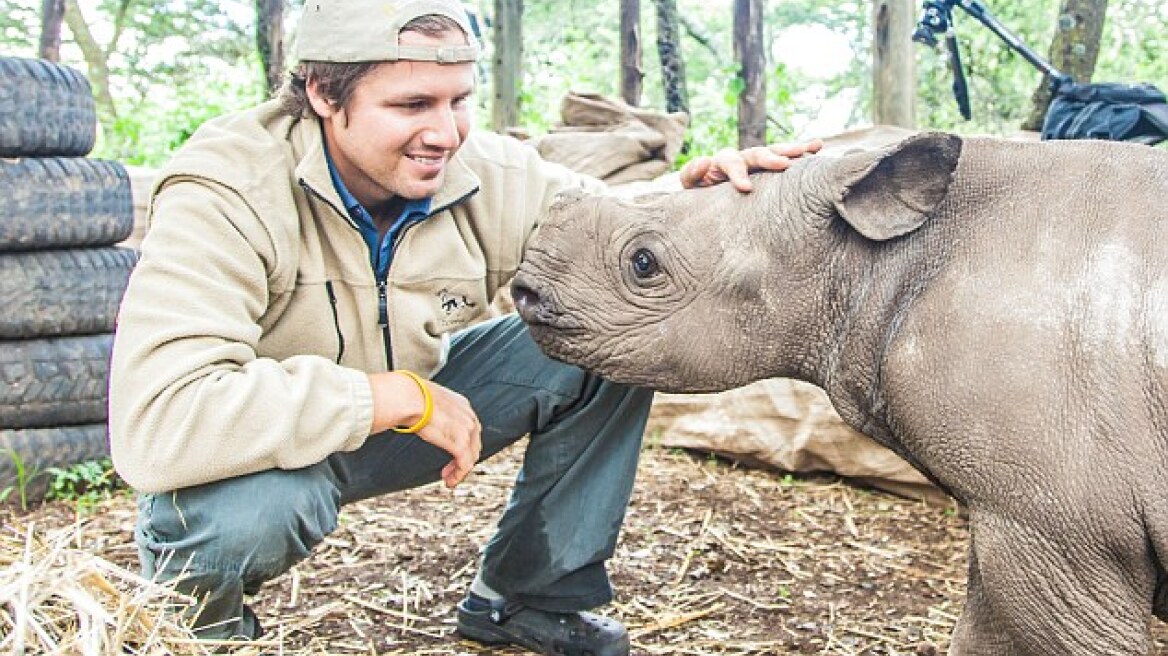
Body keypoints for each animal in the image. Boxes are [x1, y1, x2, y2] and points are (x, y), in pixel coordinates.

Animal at [513, 130, 1168, 648]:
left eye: (644, 263)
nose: (523, 291)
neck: (874, 257)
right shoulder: (1024, 514)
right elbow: (981, 636)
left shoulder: (1054, 526)